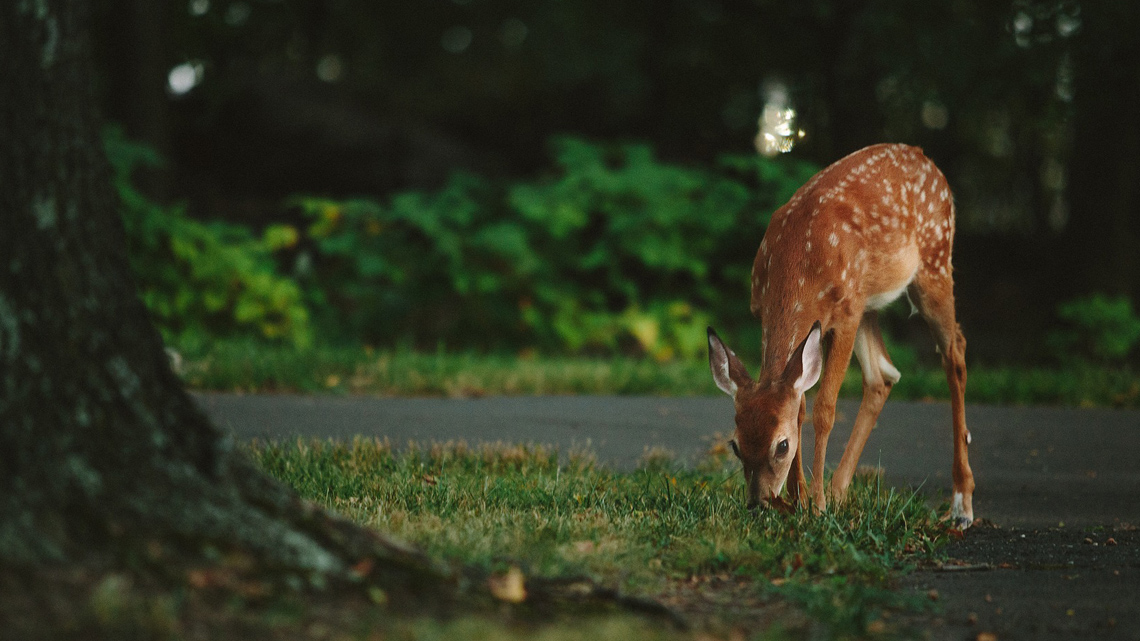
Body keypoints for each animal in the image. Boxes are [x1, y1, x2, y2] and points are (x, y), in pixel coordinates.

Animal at [706, 144, 975, 529]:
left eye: (781, 446)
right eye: (735, 445)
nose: (758, 503)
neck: (798, 264)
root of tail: (925, 158)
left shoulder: (845, 314)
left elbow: (824, 409)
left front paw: (814, 506)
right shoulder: (770, 313)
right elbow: (800, 404)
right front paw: (800, 500)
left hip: (933, 263)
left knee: (955, 353)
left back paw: (961, 504)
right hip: (869, 302)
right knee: (883, 374)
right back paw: (839, 492)